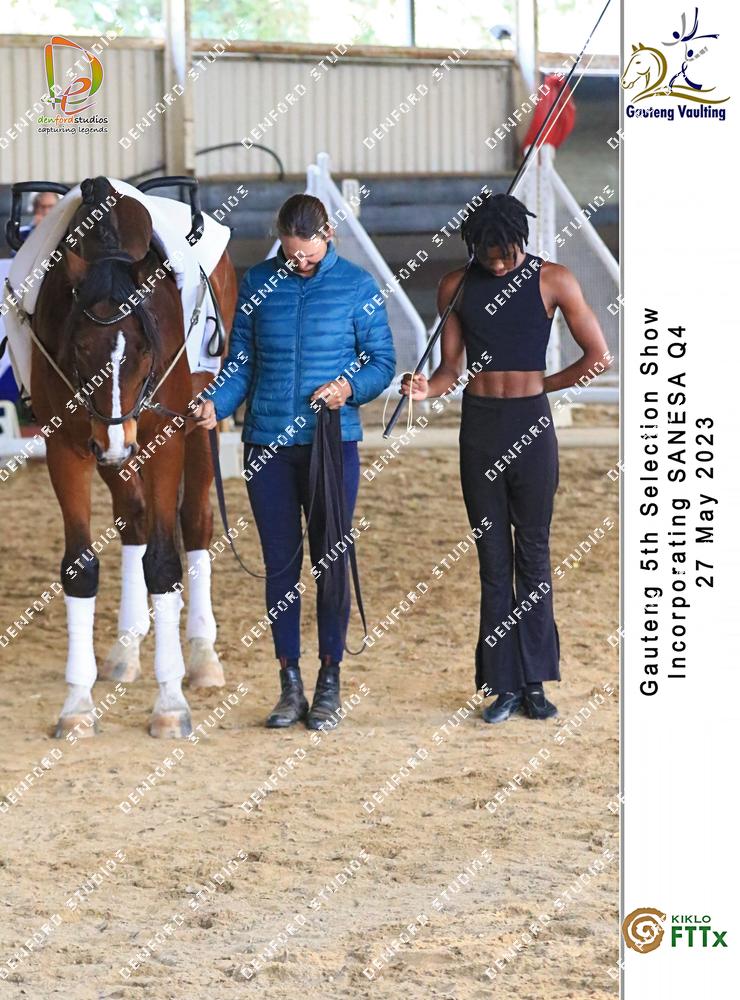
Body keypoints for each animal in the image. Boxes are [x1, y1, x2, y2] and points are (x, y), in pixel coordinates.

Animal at [29, 176, 237, 738]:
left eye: (144, 350)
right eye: (80, 348)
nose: (115, 441)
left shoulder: (164, 434)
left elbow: (164, 563)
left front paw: (170, 704)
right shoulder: (68, 448)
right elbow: (81, 568)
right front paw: (76, 706)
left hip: (199, 423)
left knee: (194, 520)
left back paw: (202, 656)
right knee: (135, 519)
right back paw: (126, 650)